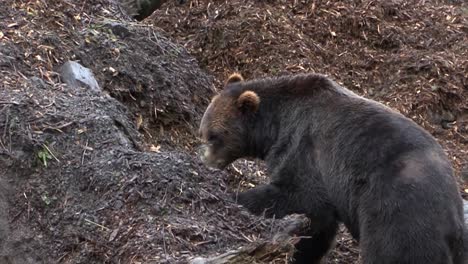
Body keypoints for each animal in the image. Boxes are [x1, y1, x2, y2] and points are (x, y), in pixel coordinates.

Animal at [198, 72, 468, 264]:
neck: (275, 125)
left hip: (397, 213)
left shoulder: (305, 148)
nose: (205, 162)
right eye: (203, 132)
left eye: (214, 136)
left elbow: (302, 198)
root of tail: (453, 222)